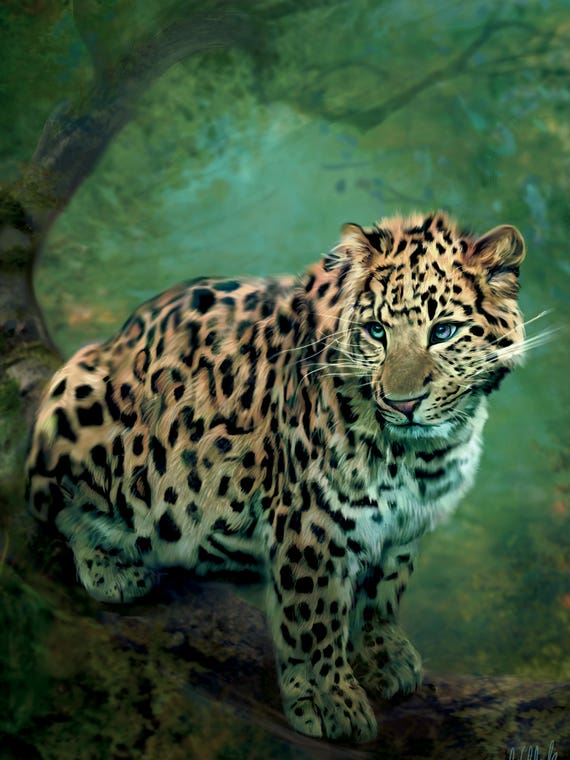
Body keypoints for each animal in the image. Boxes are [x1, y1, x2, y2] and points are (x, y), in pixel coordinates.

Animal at [25, 211, 526, 742]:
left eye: (444, 331)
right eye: (376, 331)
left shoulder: (405, 526)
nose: (402, 403)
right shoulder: (314, 524)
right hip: (79, 398)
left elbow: (385, 590)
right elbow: (314, 618)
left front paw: (383, 655)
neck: (422, 456)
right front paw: (329, 701)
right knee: (62, 509)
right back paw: (113, 567)